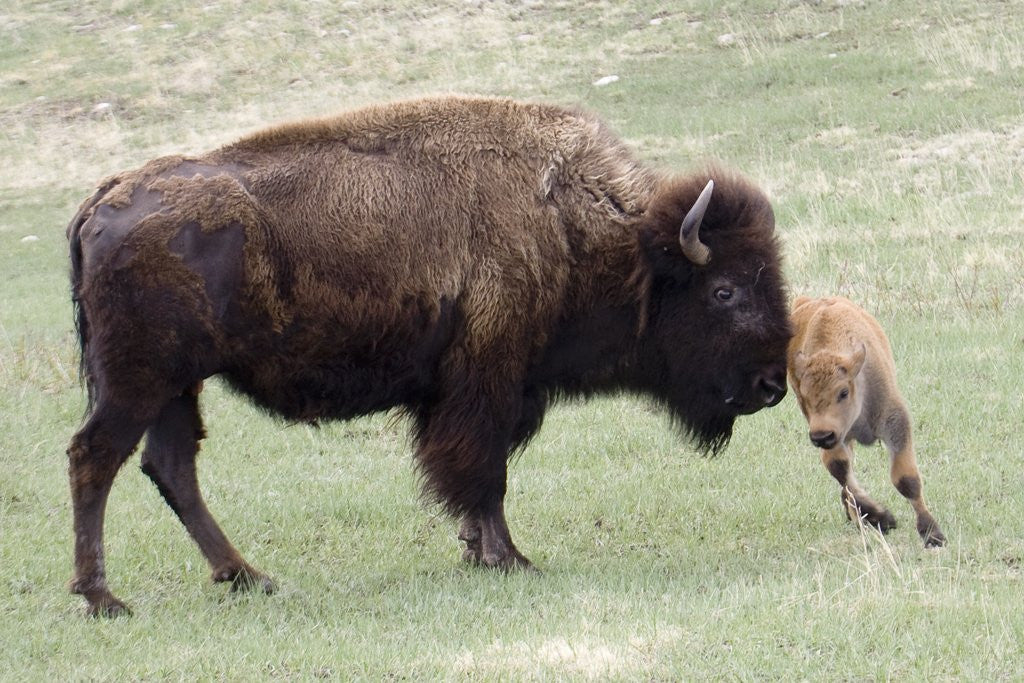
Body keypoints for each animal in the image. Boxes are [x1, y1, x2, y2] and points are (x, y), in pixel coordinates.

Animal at [66, 95, 792, 617]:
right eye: (724, 289)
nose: (772, 384)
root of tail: (105, 197)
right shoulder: (487, 383)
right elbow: (484, 473)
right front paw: (509, 559)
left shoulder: (476, 393)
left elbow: (476, 475)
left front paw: (476, 551)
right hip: (138, 381)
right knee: (94, 457)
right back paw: (104, 598)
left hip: (174, 385)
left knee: (171, 467)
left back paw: (248, 576)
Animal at [787, 295, 945, 547]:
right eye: (804, 395)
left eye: (843, 392)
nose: (821, 436)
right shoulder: (836, 437)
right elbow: (840, 470)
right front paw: (881, 518)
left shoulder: (896, 425)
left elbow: (905, 479)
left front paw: (932, 534)